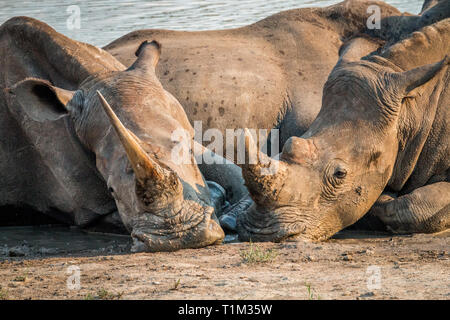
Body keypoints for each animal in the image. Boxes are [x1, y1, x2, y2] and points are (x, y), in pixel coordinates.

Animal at [0, 16, 250, 252]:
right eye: (110, 189)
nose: (180, 237)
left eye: (188, 148)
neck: (99, 75)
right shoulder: (86, 208)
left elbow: (231, 171)